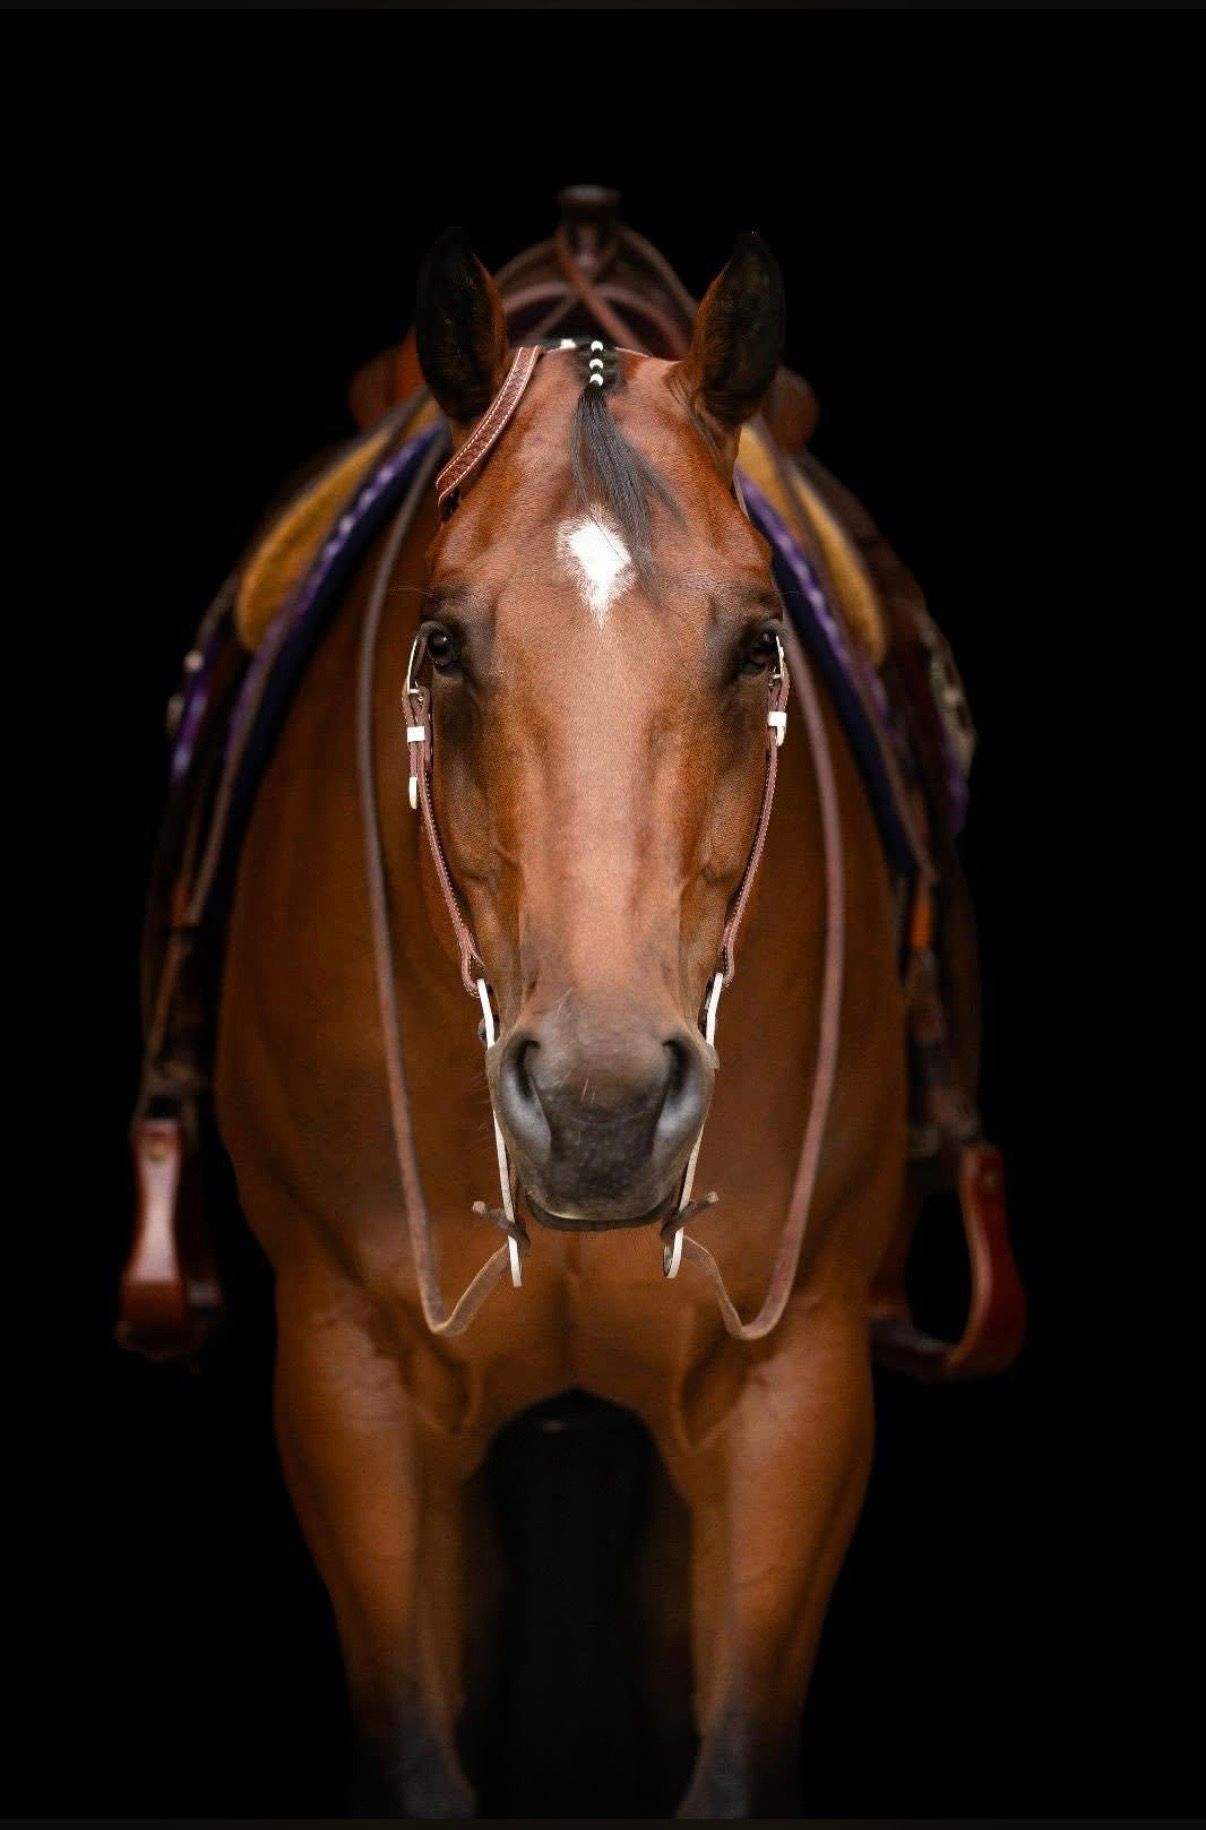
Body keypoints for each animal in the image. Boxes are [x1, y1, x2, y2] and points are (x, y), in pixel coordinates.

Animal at [207, 225, 933, 1817]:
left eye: (758, 643)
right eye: (442, 641)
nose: (603, 1108)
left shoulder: (794, 1390)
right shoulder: (351, 1382)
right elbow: (420, 1752)